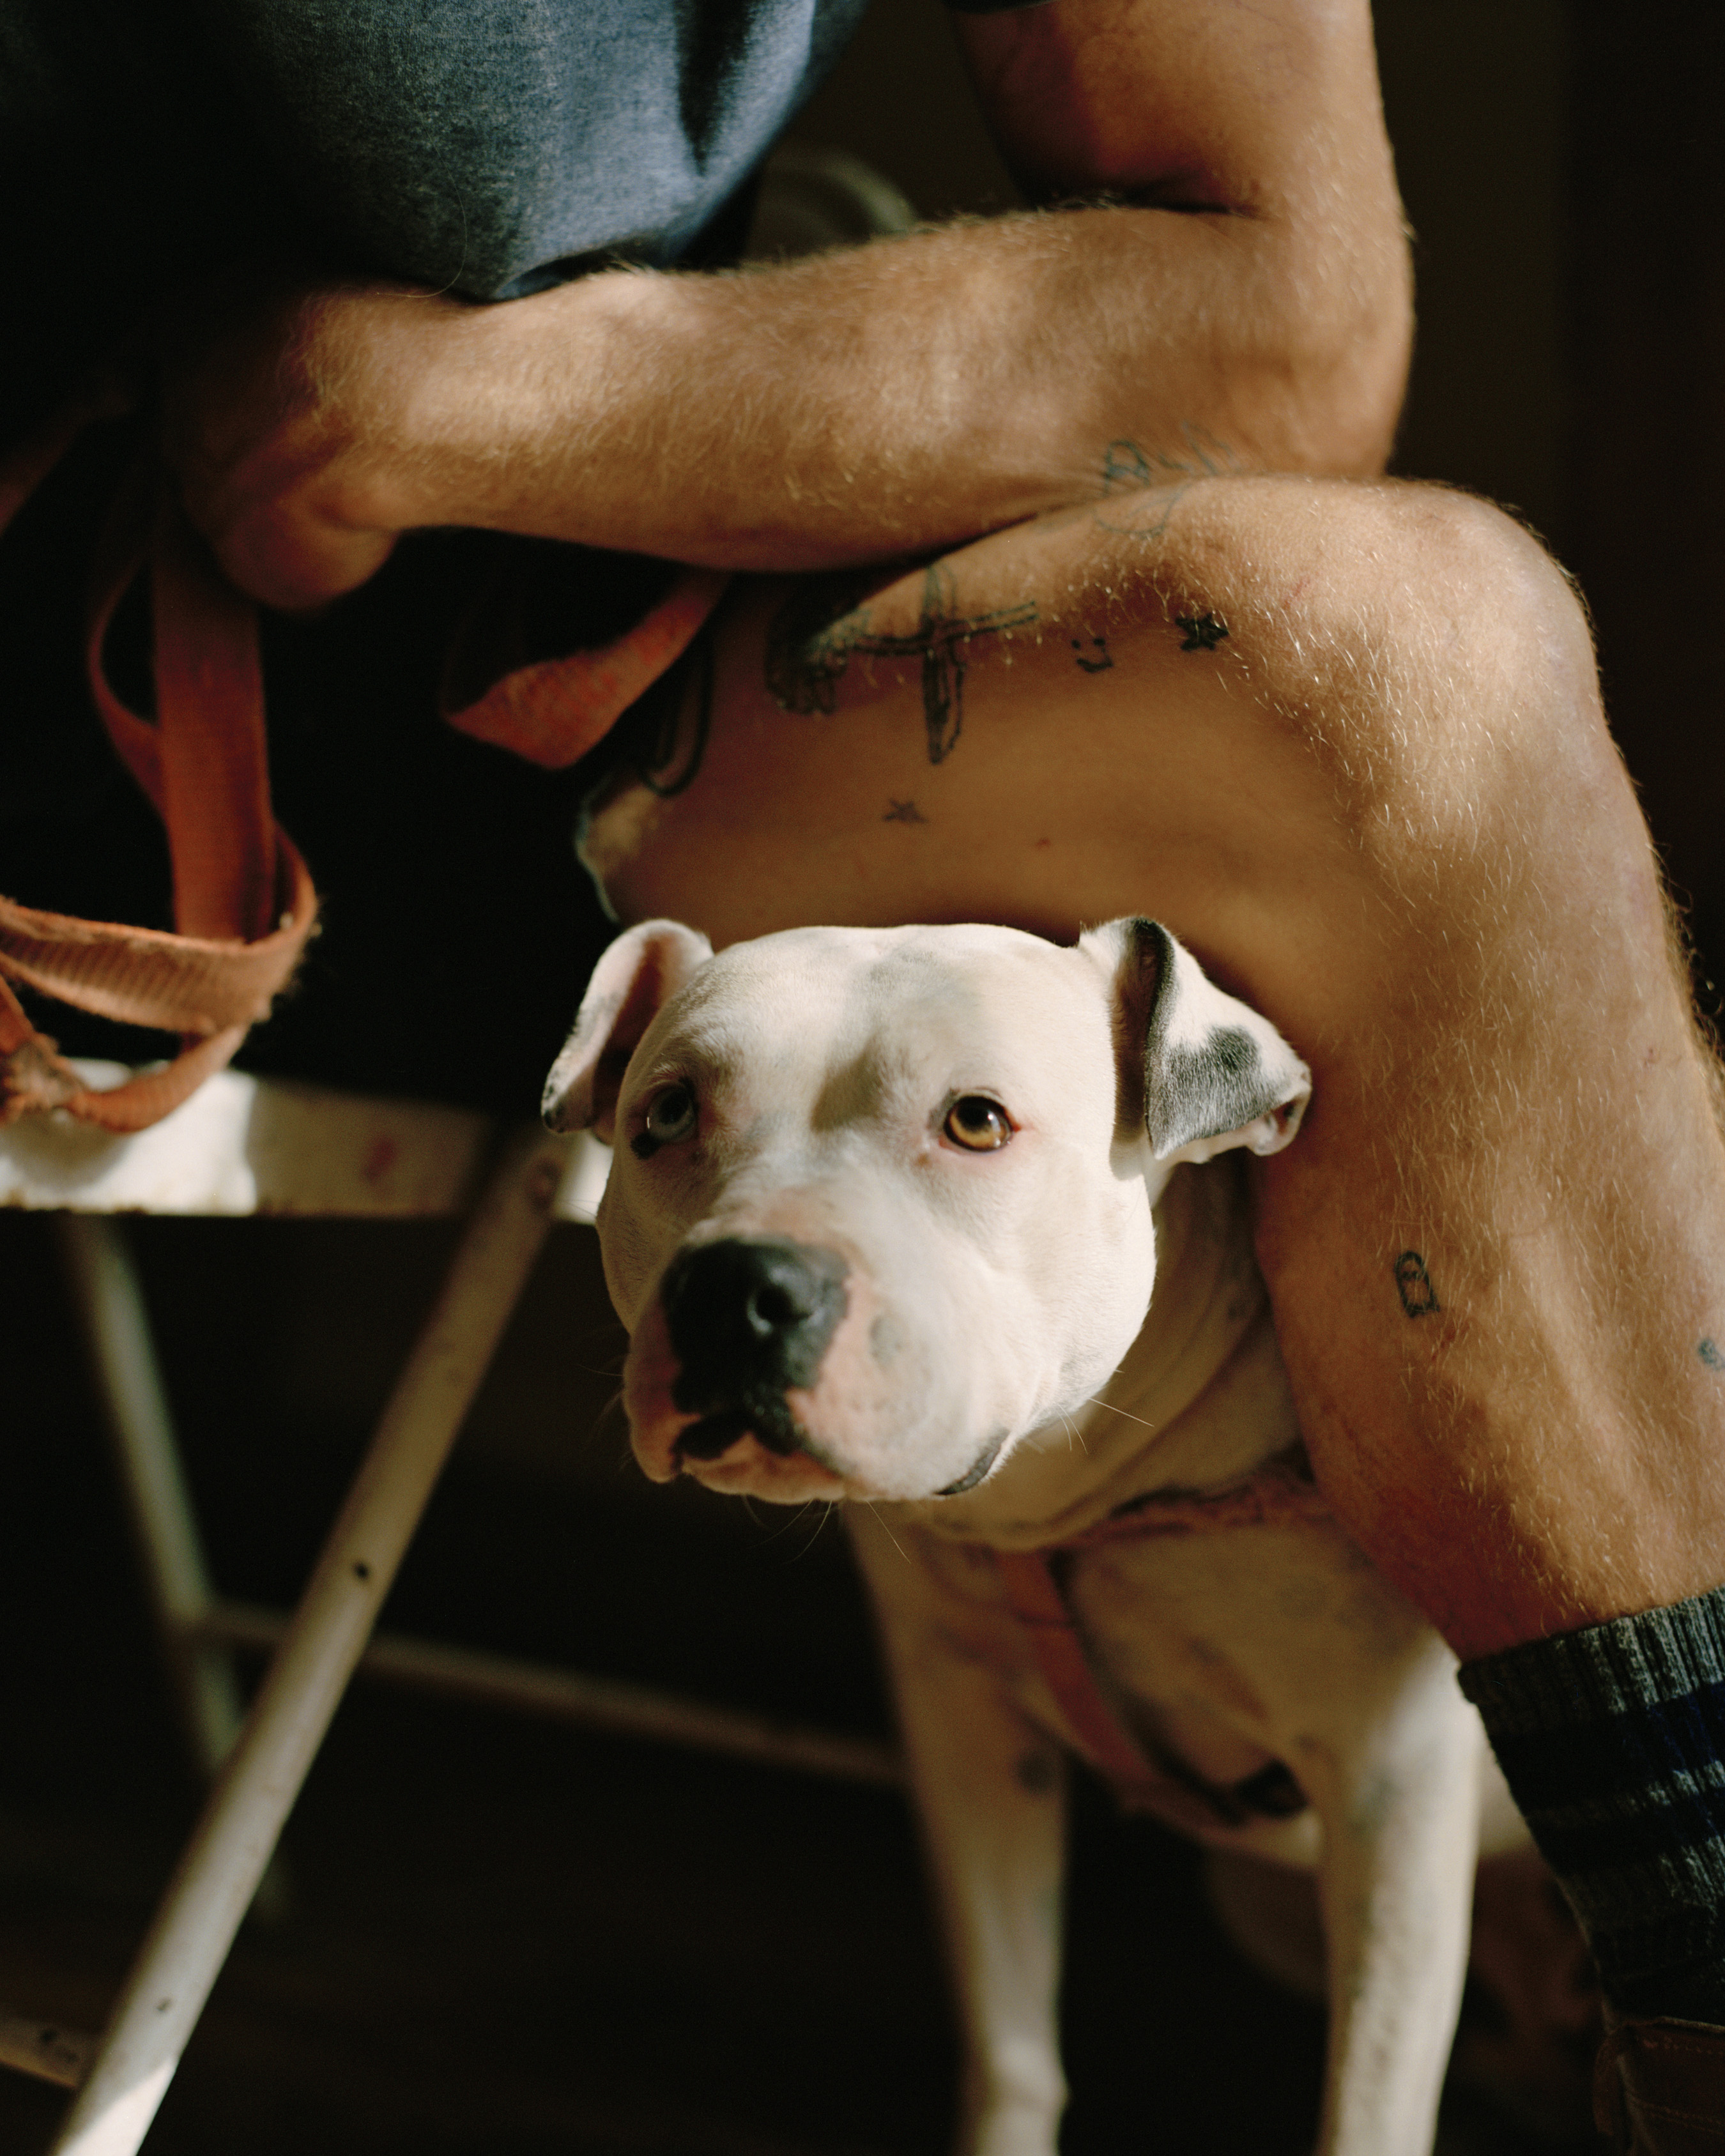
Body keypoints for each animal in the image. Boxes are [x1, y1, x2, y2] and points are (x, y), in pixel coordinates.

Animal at [543, 913, 1536, 2156]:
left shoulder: (1392, 1788)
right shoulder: (970, 1728)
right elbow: (1012, 2045)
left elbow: (1369, 2106)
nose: (733, 1288)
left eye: (976, 1120)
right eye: (667, 1114)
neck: (1079, 1499)